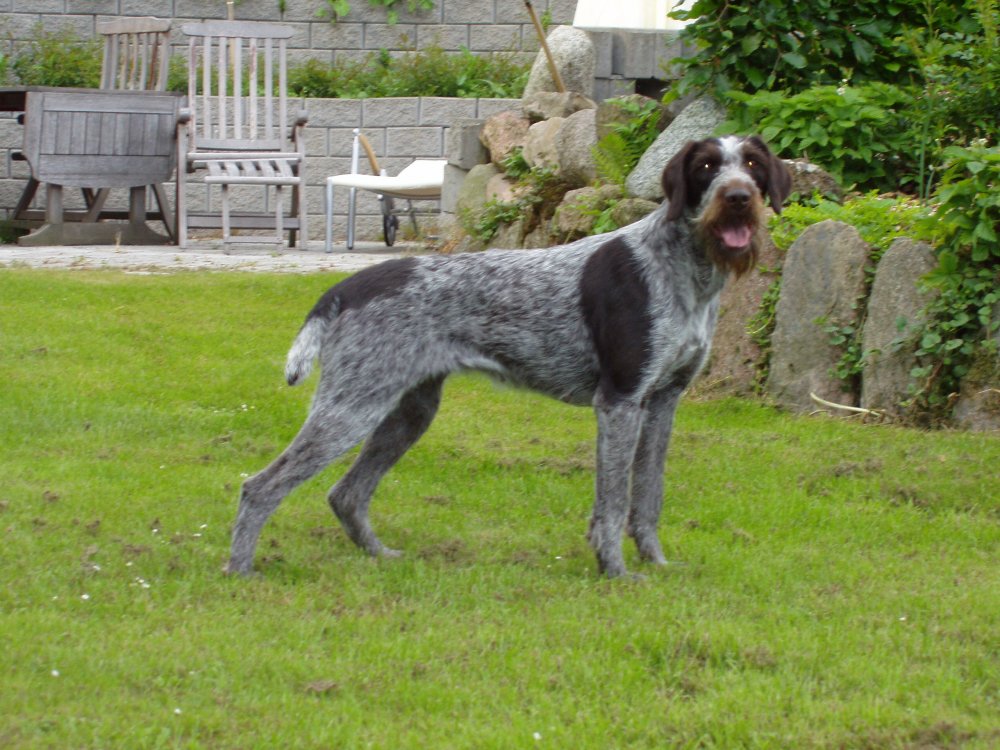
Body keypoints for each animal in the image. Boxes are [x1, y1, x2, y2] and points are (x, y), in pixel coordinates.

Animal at [226, 136, 792, 578]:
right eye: (706, 168)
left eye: (752, 164)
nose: (738, 198)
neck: (685, 269)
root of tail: (346, 287)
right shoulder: (620, 402)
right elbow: (612, 505)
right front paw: (614, 571)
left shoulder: (663, 402)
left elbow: (647, 497)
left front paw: (655, 563)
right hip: (351, 408)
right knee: (259, 487)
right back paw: (240, 571)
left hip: (408, 411)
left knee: (346, 494)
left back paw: (380, 556)